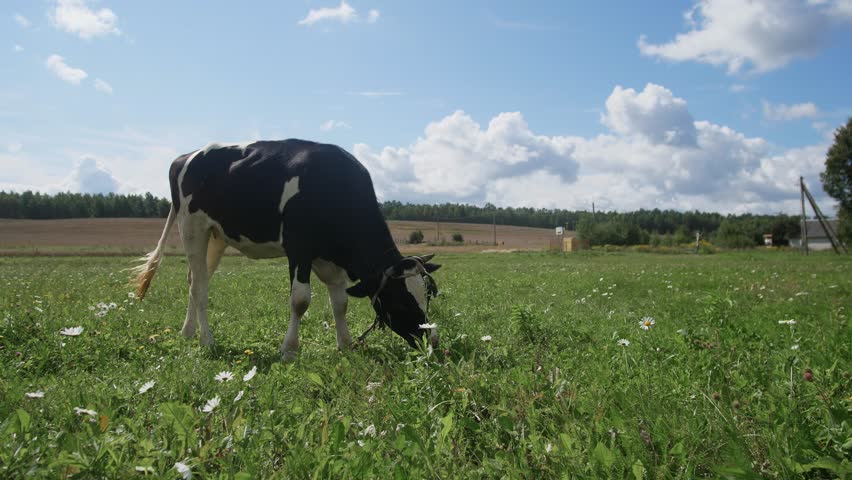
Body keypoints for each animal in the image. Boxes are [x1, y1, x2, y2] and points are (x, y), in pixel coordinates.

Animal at [130, 139, 441, 361]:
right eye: (402, 300)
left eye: (426, 296)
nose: (431, 341)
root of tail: (185, 157)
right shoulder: (299, 248)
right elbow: (300, 300)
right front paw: (289, 349)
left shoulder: (330, 259)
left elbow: (340, 302)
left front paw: (345, 344)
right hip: (192, 227)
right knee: (199, 287)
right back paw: (206, 340)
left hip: (216, 236)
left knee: (194, 279)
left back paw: (187, 332)